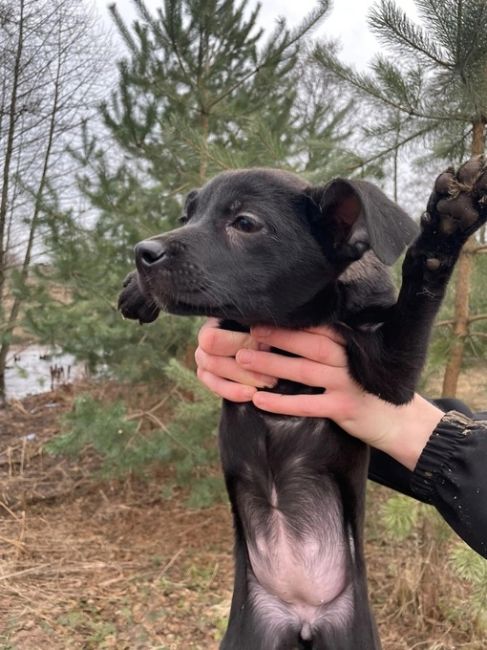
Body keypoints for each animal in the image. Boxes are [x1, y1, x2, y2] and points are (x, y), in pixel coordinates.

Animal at [118, 158, 487, 648]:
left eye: (245, 223)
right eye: (186, 217)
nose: (142, 252)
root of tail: (303, 615)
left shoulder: (393, 375)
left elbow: (416, 295)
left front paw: (445, 227)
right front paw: (135, 290)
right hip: (249, 632)